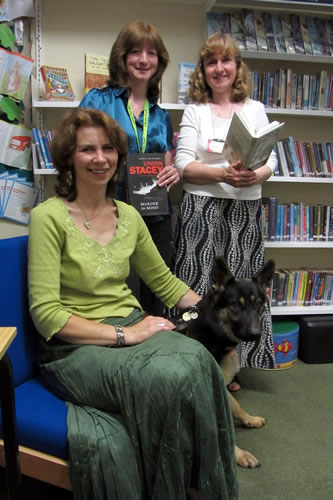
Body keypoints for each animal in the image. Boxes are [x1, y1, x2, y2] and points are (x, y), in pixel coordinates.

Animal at [172, 258, 274, 468]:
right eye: (235, 305)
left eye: (258, 303)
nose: (256, 334)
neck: (213, 332)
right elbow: (220, 430)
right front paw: (238, 454)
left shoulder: (220, 386)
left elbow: (235, 406)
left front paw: (249, 419)